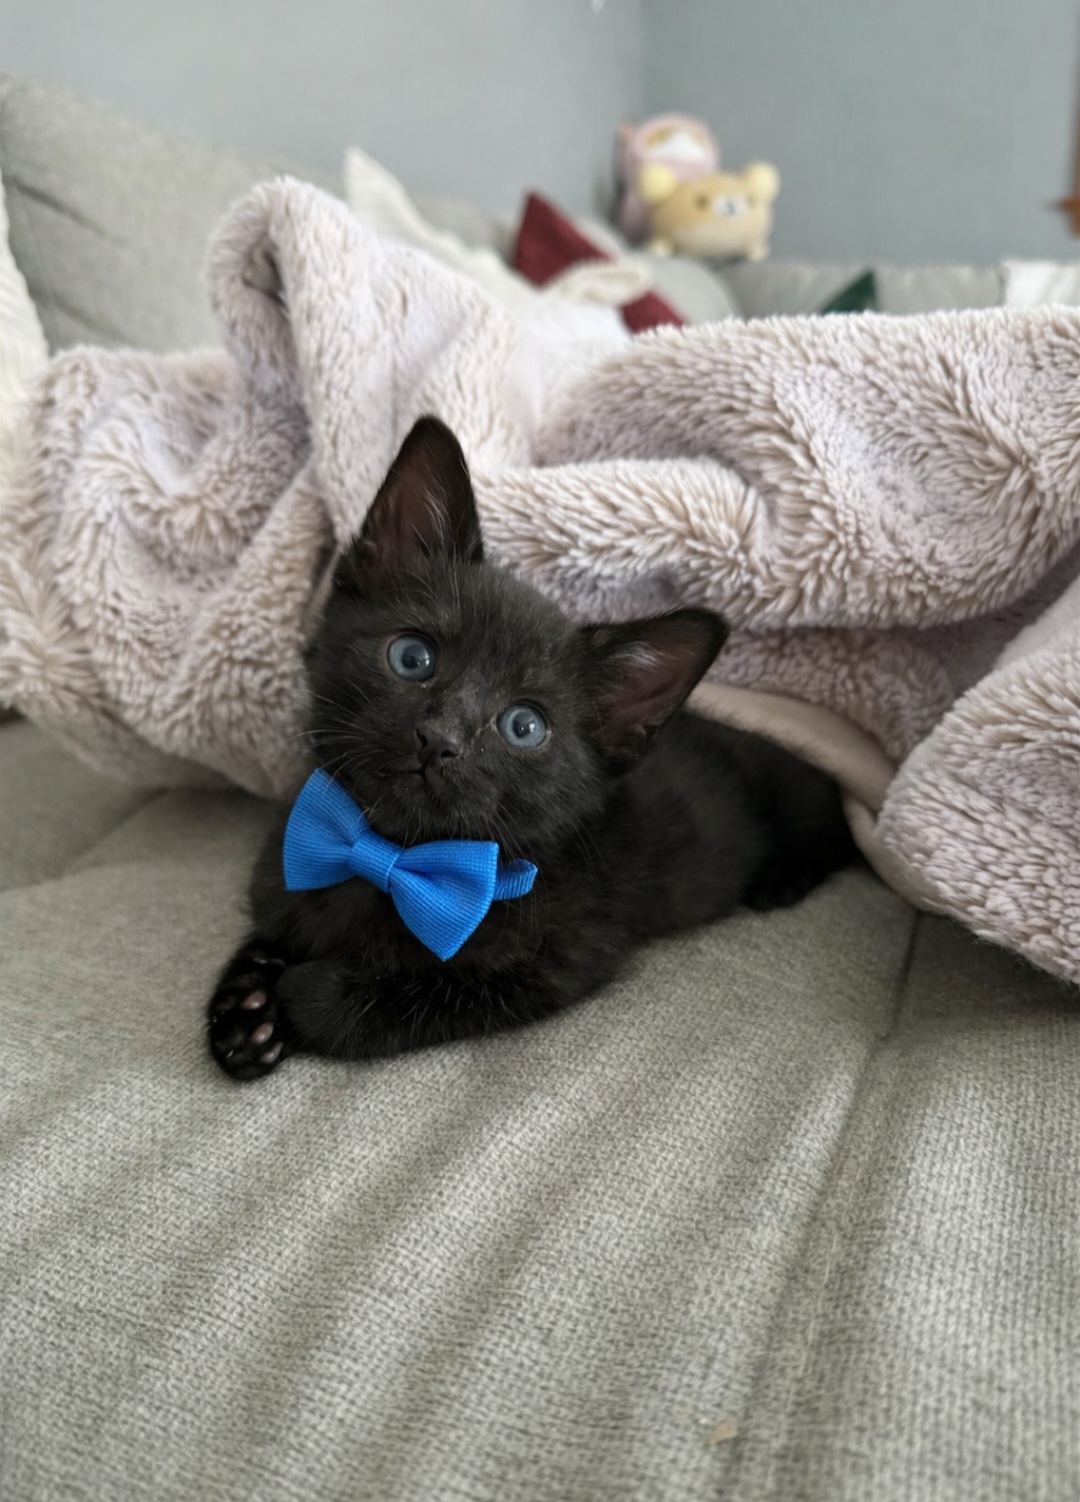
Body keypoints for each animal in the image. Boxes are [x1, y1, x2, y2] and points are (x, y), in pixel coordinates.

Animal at [207, 416, 856, 1080]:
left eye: (524, 727)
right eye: (412, 657)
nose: (439, 739)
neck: (385, 856)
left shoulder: (560, 960)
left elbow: (422, 995)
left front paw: (301, 997)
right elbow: (273, 922)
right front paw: (247, 1005)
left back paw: (780, 879)